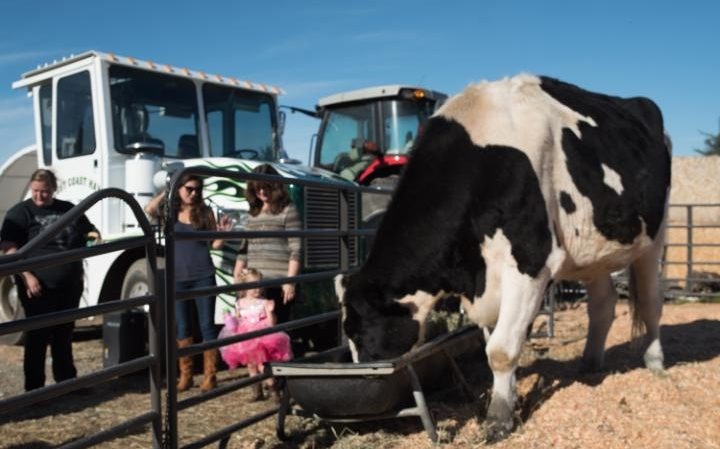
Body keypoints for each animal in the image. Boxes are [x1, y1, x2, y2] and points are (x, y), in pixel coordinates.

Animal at [334, 73, 671, 442]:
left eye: (363, 332)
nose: (364, 377)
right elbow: (492, 343)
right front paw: (507, 400)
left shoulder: (531, 263)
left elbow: (500, 350)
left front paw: (498, 420)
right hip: (591, 249)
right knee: (603, 304)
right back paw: (589, 364)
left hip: (655, 237)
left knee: (651, 302)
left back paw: (655, 362)